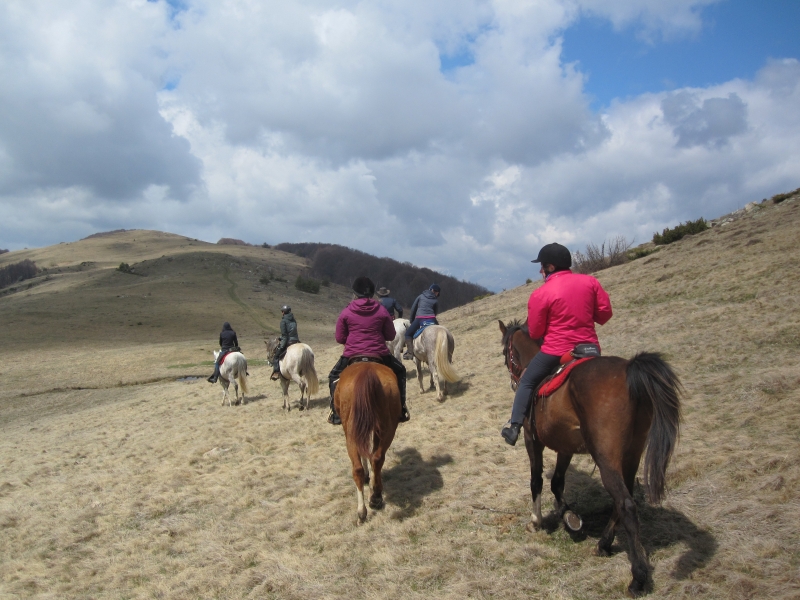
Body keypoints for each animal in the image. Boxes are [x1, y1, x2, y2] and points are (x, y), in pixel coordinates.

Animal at [334, 360, 404, 524]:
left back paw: (365, 508)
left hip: (353, 432)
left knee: (361, 466)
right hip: (386, 427)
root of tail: (367, 371)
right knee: (376, 459)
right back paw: (373, 500)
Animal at [500, 318, 680, 596]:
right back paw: (604, 544)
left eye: (505, 353)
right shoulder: (565, 446)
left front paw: (536, 521)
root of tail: (629, 369)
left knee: (626, 504)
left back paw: (638, 577)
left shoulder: (533, 440)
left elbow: (537, 481)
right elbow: (557, 482)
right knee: (623, 498)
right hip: (632, 453)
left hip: (606, 457)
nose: (513, 382)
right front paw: (568, 516)